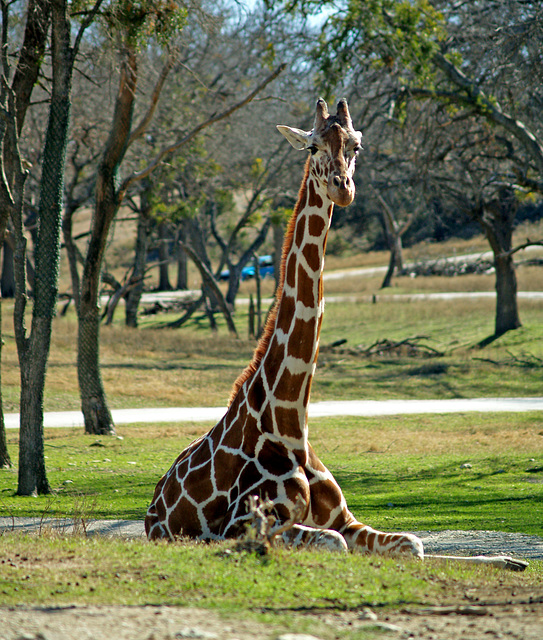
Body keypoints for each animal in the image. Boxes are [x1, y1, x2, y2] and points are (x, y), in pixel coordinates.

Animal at [143, 96, 528, 568]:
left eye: (356, 145)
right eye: (312, 147)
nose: (343, 189)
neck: (290, 423)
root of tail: (152, 505)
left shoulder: (345, 519)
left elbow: (413, 544)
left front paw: (505, 560)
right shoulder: (241, 524)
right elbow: (334, 544)